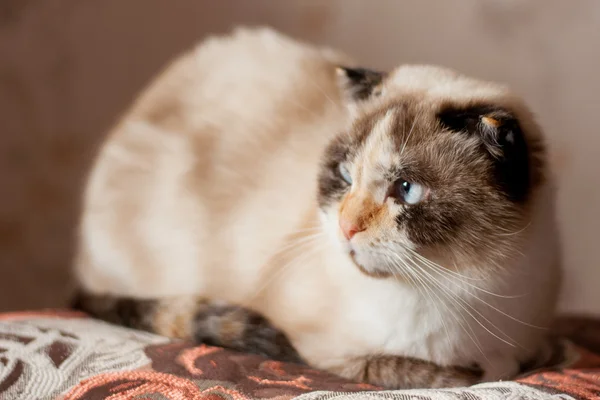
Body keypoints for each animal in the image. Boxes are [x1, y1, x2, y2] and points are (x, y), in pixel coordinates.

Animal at [72, 26, 560, 390]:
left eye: (406, 189)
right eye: (344, 175)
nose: (346, 227)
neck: (462, 288)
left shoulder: (532, 340)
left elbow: (538, 358)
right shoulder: (326, 353)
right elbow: (430, 374)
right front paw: (468, 373)